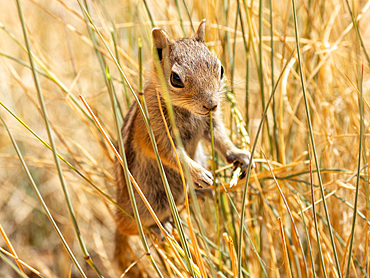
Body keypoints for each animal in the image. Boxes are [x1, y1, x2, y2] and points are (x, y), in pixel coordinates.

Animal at [115, 19, 253, 270]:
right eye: (176, 79)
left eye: (220, 69)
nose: (211, 104)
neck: (187, 111)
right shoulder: (156, 130)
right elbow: (172, 155)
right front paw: (199, 174)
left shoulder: (210, 124)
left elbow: (221, 139)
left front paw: (240, 155)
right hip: (150, 199)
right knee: (132, 227)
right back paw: (160, 227)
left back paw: (200, 193)